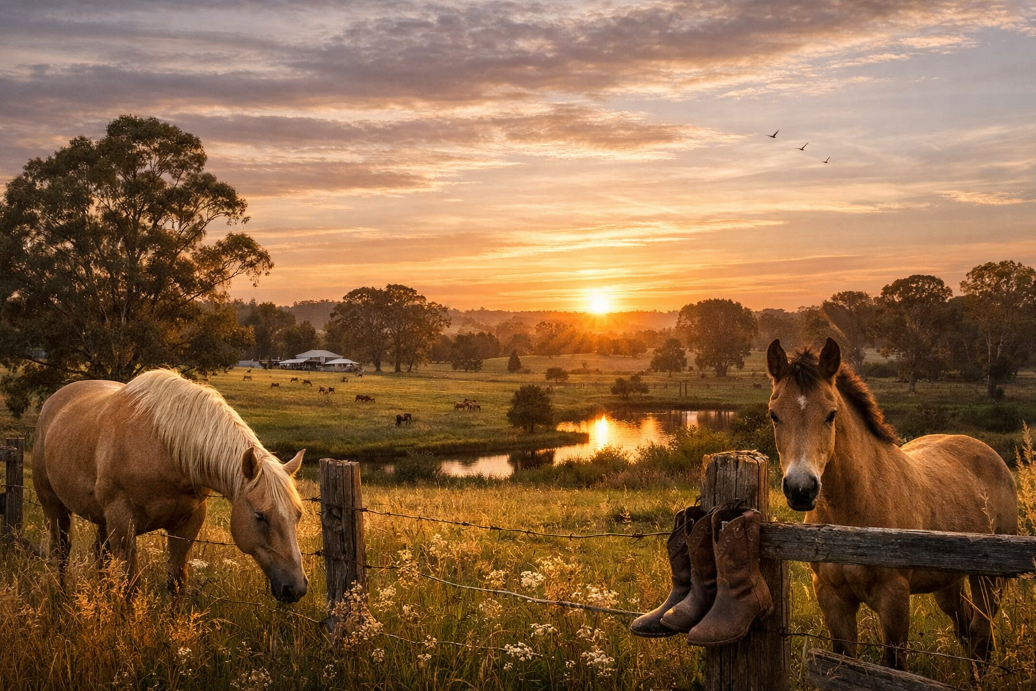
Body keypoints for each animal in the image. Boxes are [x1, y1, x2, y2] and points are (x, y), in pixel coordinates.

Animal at [33, 370, 309, 603]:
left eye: (297, 515)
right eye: (260, 516)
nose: (296, 588)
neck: (163, 448)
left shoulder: (187, 523)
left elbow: (176, 583)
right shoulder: (122, 521)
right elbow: (131, 586)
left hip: (102, 519)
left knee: (100, 555)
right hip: (54, 507)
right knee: (60, 552)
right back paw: (61, 600)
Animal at [766, 338, 1017, 669]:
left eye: (831, 414)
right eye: (774, 414)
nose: (801, 489)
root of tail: (989, 453)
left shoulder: (894, 600)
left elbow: (894, 663)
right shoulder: (832, 597)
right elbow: (844, 657)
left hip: (988, 581)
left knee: (980, 635)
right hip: (948, 584)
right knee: (966, 629)